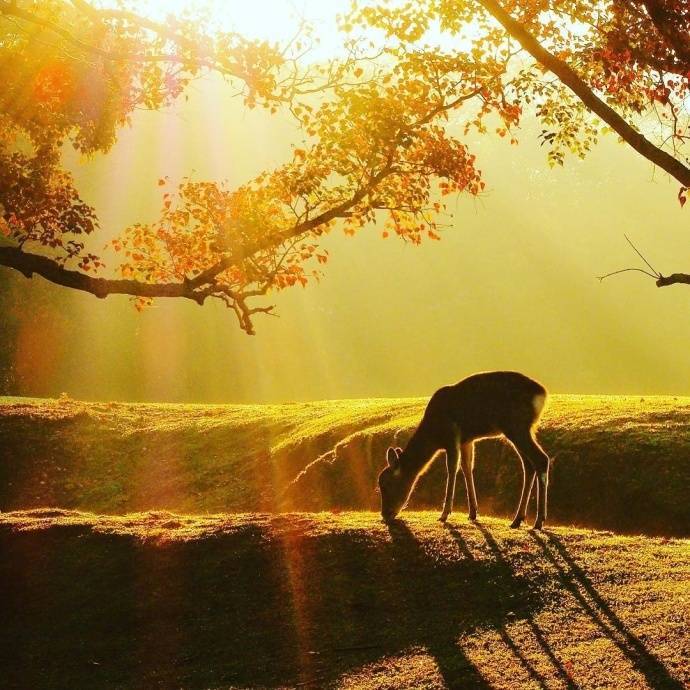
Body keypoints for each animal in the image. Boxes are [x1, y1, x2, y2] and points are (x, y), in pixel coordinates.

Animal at [376, 370, 548, 528]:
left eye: (385, 484)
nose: (385, 514)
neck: (434, 434)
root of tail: (542, 394)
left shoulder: (452, 437)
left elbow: (452, 469)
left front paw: (444, 514)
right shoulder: (466, 441)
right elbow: (467, 468)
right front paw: (472, 513)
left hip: (516, 426)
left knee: (541, 459)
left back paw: (538, 521)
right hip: (524, 429)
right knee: (528, 465)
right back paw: (518, 519)